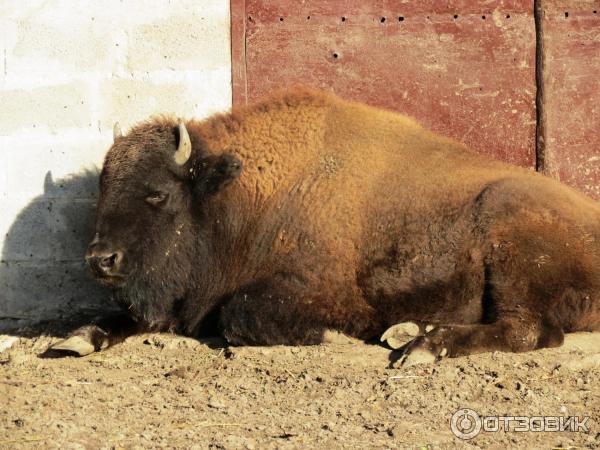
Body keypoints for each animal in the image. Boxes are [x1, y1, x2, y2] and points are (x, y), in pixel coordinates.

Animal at [51, 88, 600, 366]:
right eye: (102, 191)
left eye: (157, 194)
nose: (101, 260)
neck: (241, 194)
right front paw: (77, 339)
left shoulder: (312, 289)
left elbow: (240, 316)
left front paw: (335, 337)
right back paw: (408, 332)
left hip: (512, 249)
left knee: (529, 329)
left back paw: (424, 347)